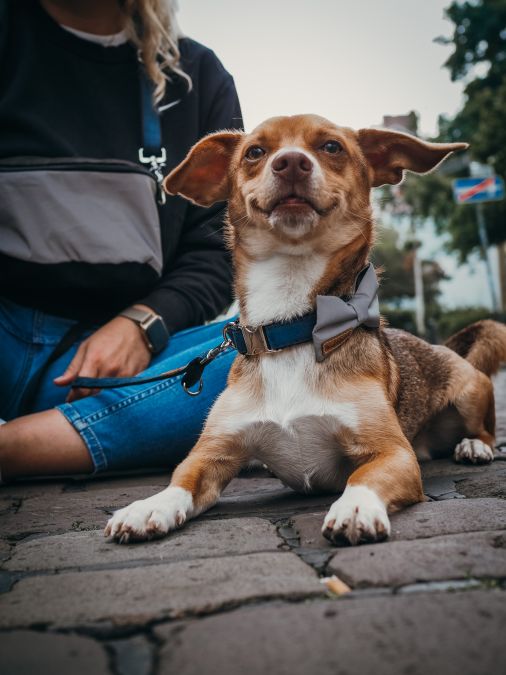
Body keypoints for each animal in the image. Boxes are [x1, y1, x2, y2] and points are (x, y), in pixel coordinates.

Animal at [105, 116, 504, 548]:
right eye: (255, 152)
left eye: (331, 147)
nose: (291, 162)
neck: (291, 329)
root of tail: (443, 347)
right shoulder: (210, 454)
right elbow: (179, 481)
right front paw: (148, 507)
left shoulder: (393, 453)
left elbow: (363, 476)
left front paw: (354, 507)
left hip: (471, 392)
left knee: (484, 430)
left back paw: (473, 446)